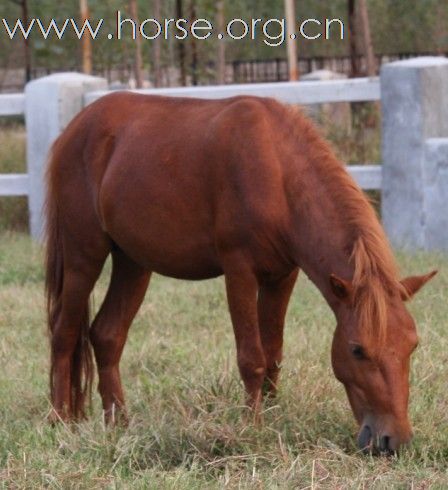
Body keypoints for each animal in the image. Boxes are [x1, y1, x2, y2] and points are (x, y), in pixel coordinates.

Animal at [45, 91, 434, 452]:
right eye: (356, 350)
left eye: (412, 345)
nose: (393, 440)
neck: (277, 172)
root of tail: (74, 129)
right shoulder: (240, 272)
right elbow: (252, 357)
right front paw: (253, 427)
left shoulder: (282, 276)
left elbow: (273, 352)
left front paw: (275, 417)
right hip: (84, 257)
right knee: (64, 333)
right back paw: (59, 420)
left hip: (133, 263)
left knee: (107, 334)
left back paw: (119, 424)